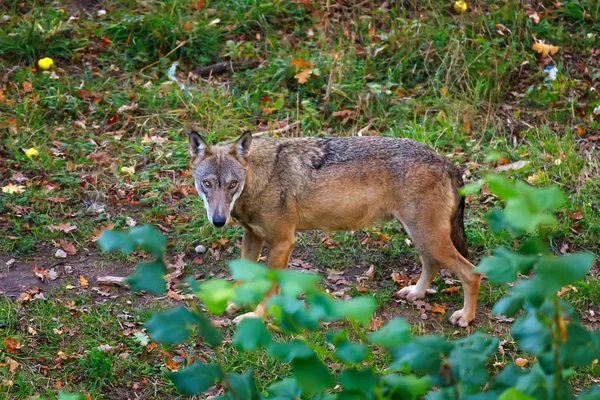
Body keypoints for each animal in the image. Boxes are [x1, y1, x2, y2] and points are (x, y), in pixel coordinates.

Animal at [190, 133, 480, 326]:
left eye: (232, 184)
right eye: (207, 184)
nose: (219, 220)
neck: (262, 178)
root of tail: (446, 161)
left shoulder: (283, 242)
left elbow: (271, 289)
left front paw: (256, 316)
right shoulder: (252, 236)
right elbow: (243, 277)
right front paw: (236, 303)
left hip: (428, 238)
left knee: (471, 273)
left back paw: (465, 317)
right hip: (420, 237)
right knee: (432, 265)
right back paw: (416, 293)